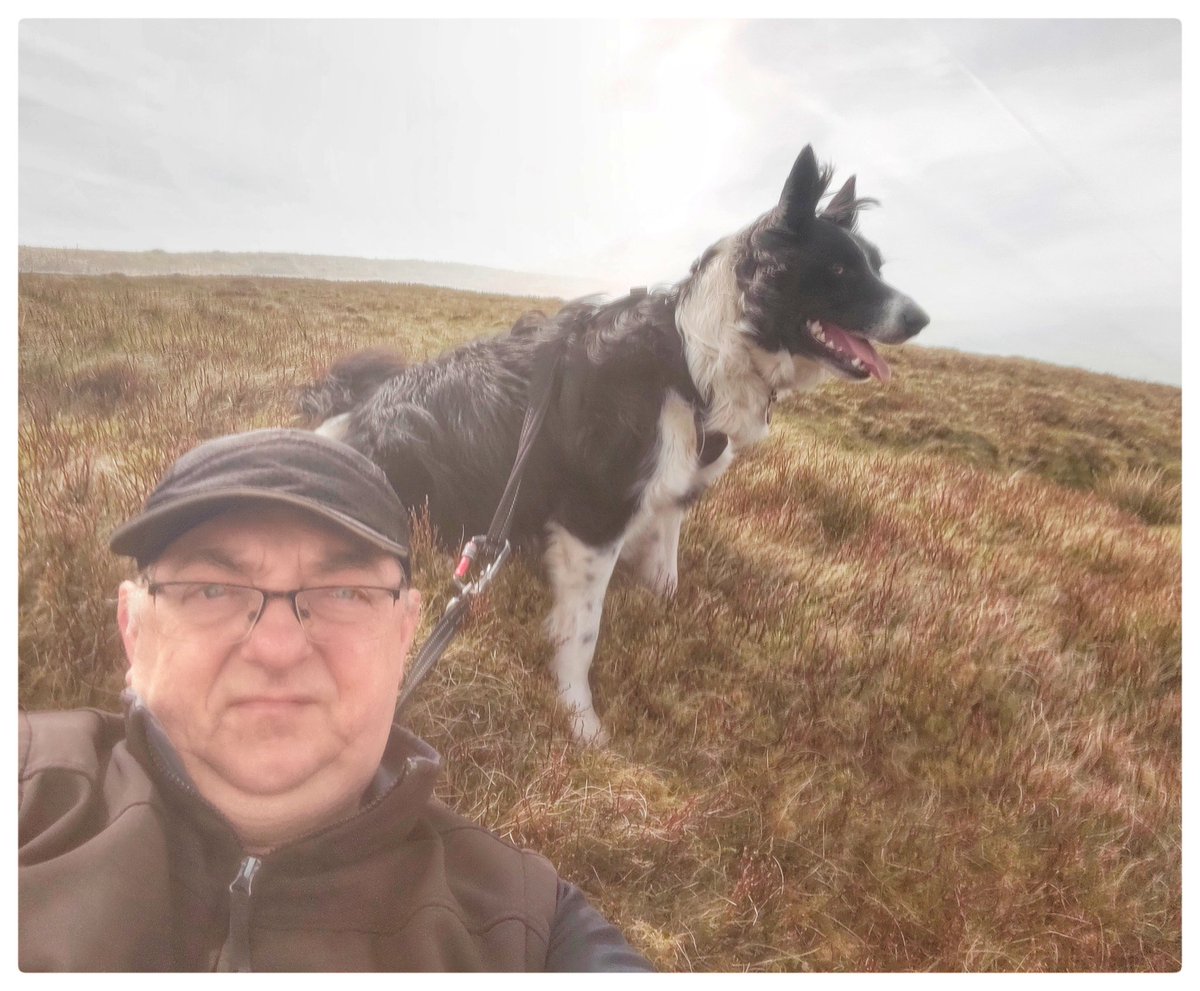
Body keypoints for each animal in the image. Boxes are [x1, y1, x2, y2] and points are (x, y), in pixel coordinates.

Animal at [297, 146, 926, 739]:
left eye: (876, 267)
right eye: (839, 270)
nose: (919, 318)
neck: (692, 358)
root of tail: (347, 420)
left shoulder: (673, 491)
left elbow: (666, 571)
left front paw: (668, 619)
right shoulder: (593, 515)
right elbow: (583, 630)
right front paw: (580, 720)